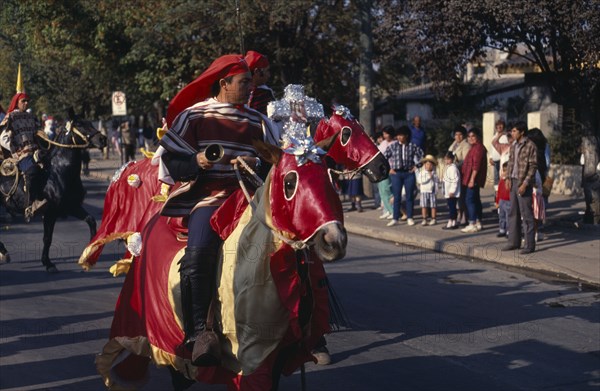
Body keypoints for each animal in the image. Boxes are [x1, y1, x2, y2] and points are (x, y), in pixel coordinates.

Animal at [0, 111, 106, 272]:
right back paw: (4, 253)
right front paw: (48, 263)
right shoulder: (51, 212)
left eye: (90, 123)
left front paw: (89, 254)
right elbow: (47, 238)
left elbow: (91, 220)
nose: (102, 139)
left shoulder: (72, 207)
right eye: (79, 124)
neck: (58, 171)